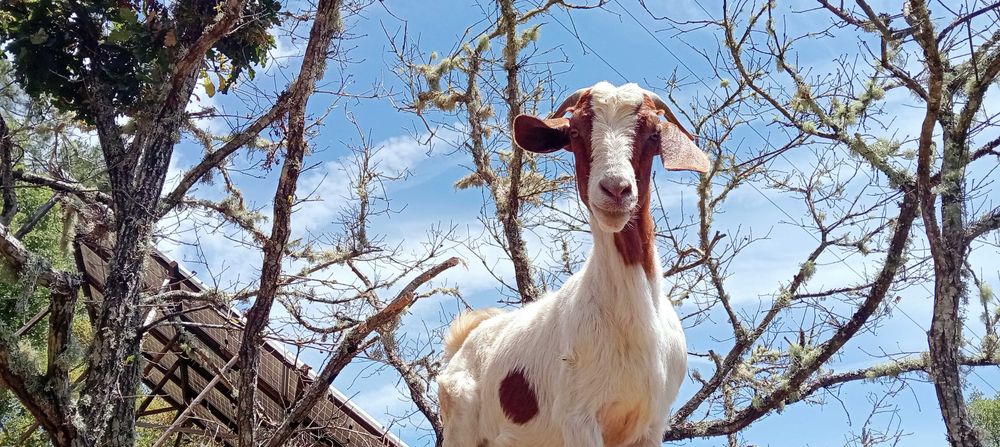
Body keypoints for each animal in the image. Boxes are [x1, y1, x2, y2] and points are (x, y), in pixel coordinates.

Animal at [437, 82, 709, 447]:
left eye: (654, 133)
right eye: (576, 131)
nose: (615, 190)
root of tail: (465, 338)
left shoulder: (652, 424)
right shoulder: (578, 417)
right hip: (460, 428)